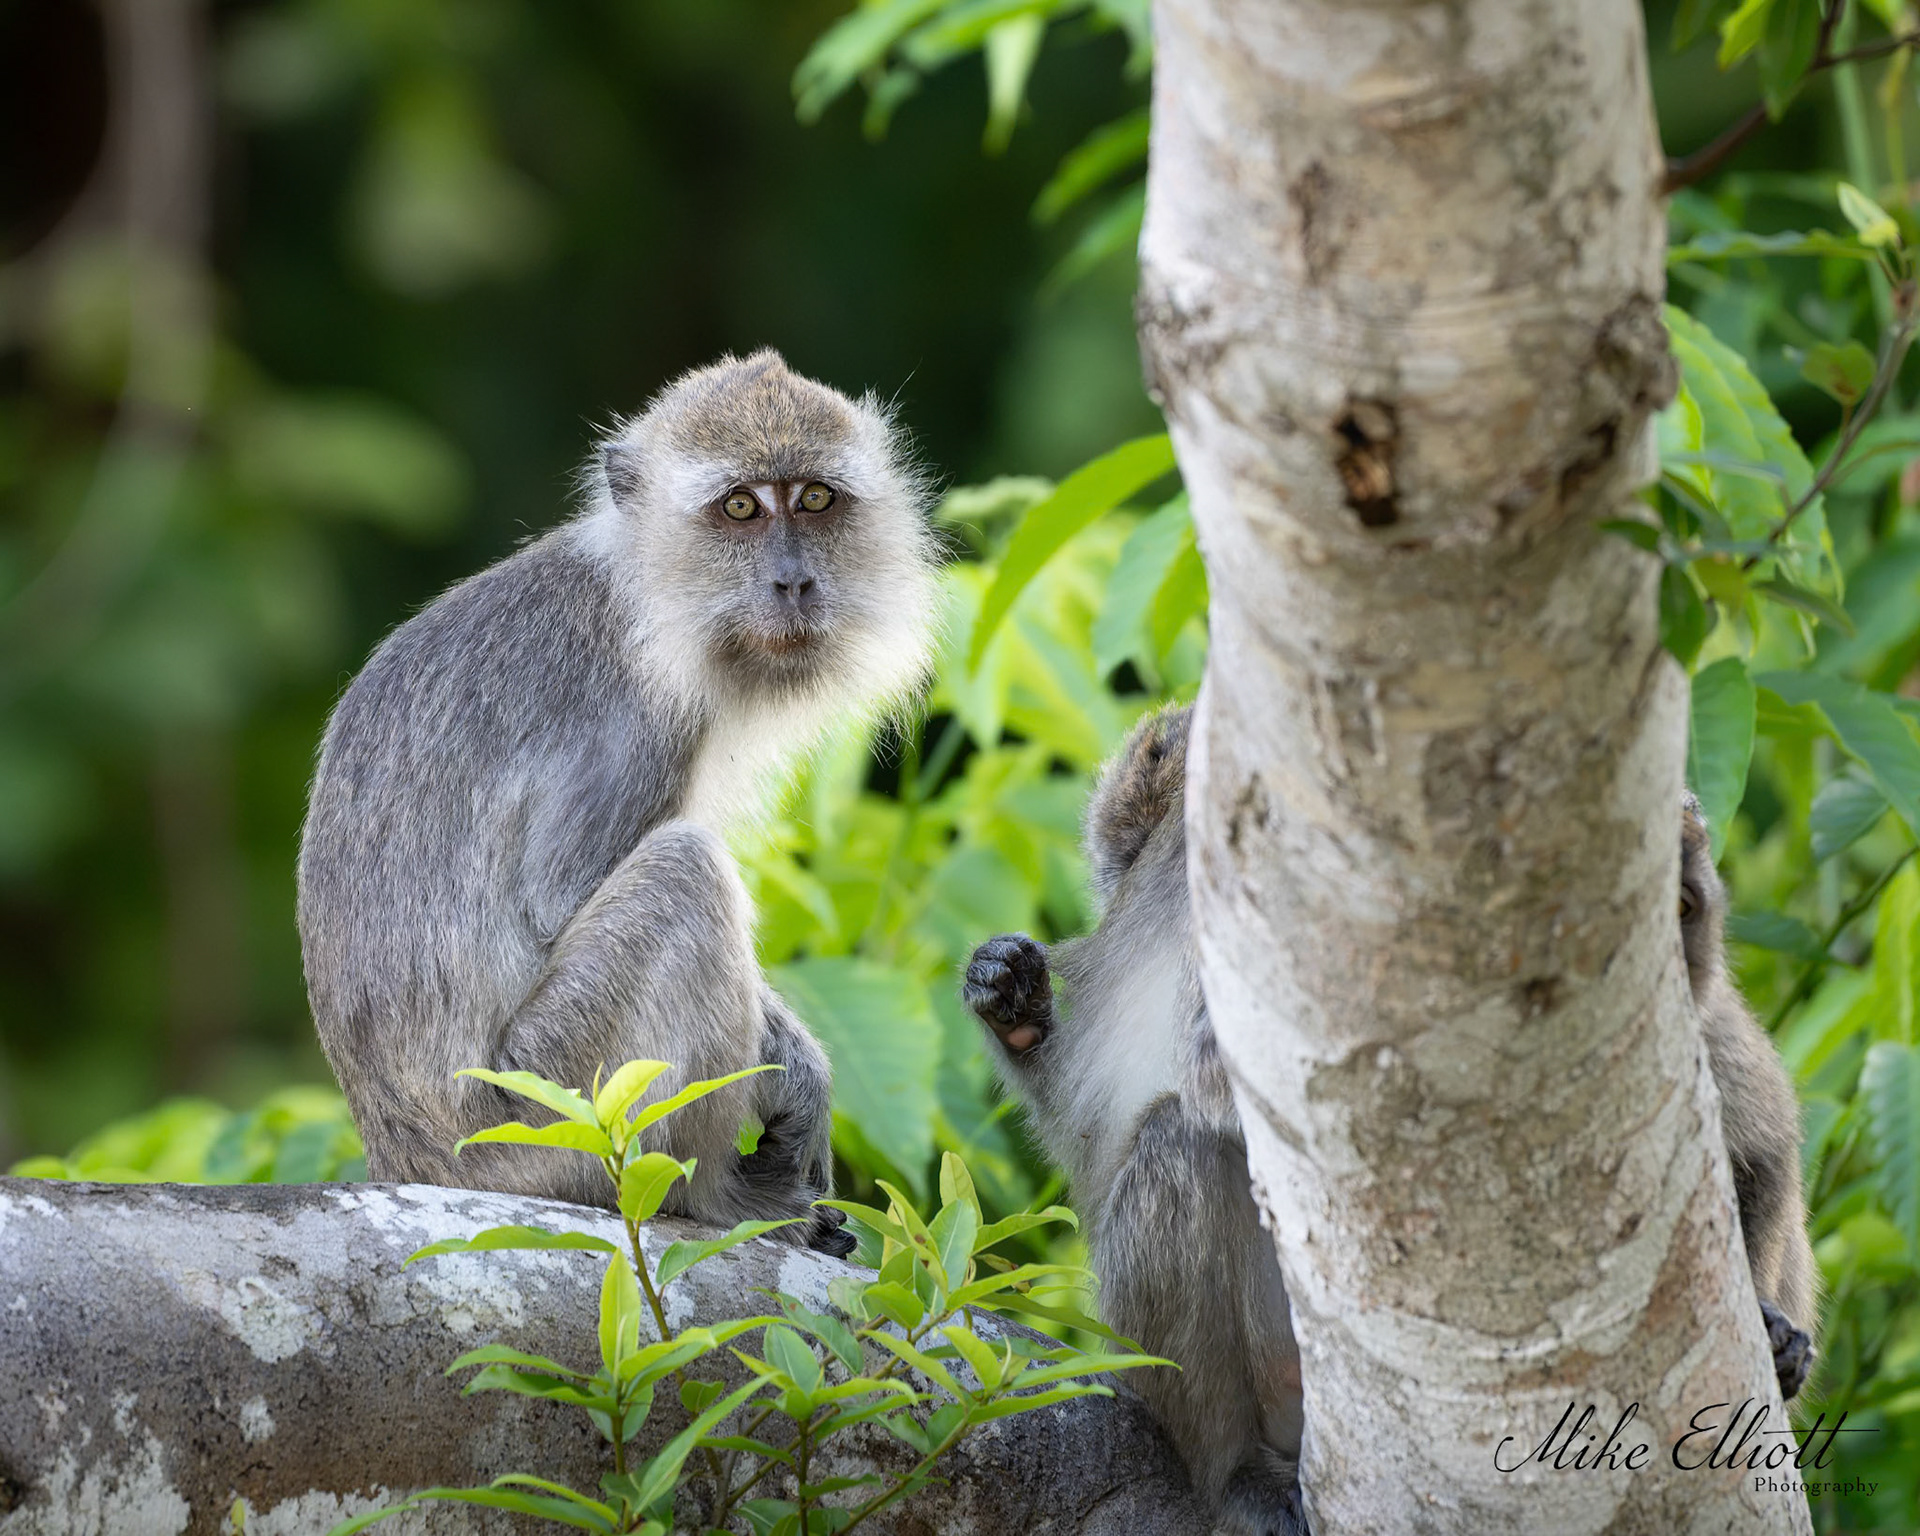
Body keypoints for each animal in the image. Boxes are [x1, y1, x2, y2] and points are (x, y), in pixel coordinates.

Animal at [298, 350, 939, 1253]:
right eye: (739, 507)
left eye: (814, 499)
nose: (794, 582)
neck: (644, 594)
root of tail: (405, 1156)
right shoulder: (638, 717)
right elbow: (557, 902)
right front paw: (798, 1074)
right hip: (550, 1115)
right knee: (684, 872)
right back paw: (719, 1198)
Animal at [963, 706, 1821, 1533]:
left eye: (1681, 905)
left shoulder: (1706, 1038)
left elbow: (1765, 1155)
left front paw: (1770, 1330)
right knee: (1177, 1148)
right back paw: (1232, 1471)